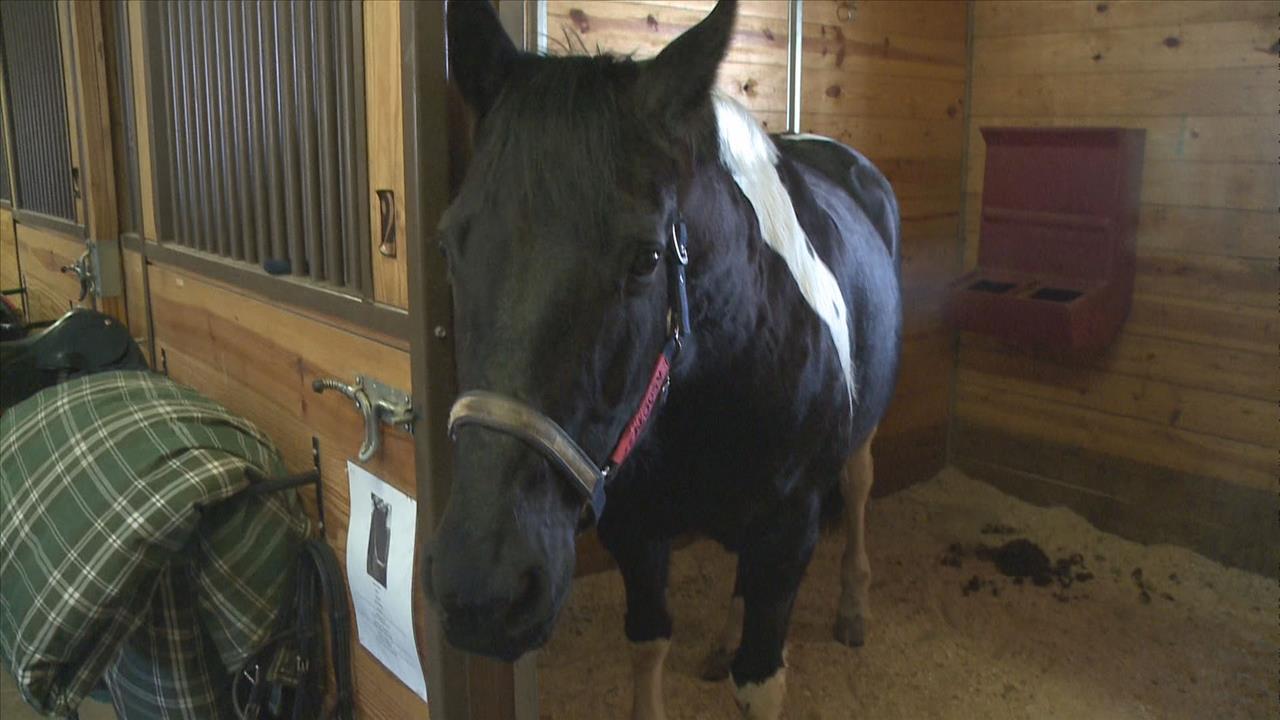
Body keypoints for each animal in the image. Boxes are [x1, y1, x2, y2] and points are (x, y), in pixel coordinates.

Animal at [425, 1, 902, 717]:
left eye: (647, 258)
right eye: (451, 242)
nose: (483, 587)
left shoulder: (788, 535)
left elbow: (760, 679)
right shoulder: (637, 529)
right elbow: (649, 644)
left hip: (859, 441)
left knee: (862, 485)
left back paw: (853, 609)